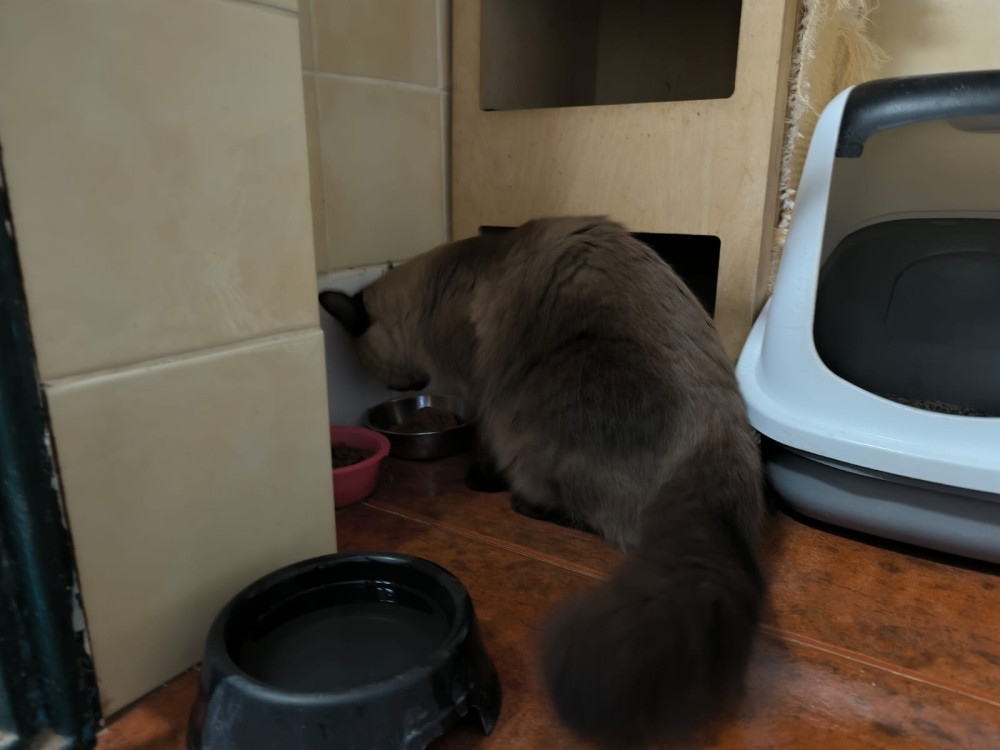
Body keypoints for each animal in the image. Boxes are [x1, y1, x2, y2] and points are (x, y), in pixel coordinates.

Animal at [320, 217, 766, 747]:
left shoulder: (482, 389)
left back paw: (522, 501)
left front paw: (480, 478)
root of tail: (720, 434)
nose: (397, 388)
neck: (438, 290)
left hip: (536, 422)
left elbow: (483, 440)